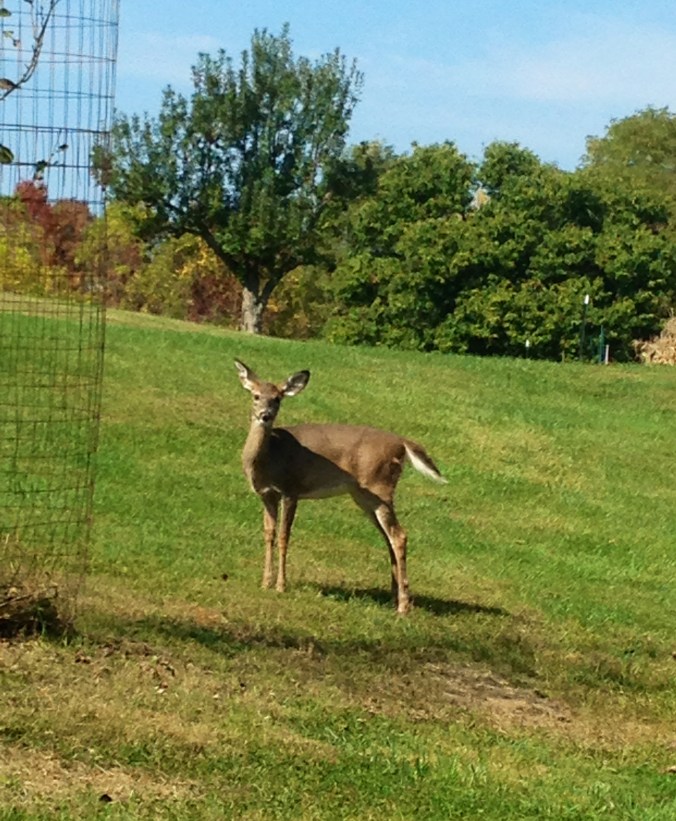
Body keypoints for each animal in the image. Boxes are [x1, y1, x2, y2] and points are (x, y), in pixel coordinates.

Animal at [234, 359, 447, 614]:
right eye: (256, 396)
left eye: (277, 398)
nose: (265, 415)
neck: (269, 458)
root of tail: (402, 444)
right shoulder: (267, 495)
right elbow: (269, 534)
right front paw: (265, 582)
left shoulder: (291, 489)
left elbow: (285, 536)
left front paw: (280, 586)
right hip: (364, 495)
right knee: (389, 536)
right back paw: (395, 597)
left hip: (381, 486)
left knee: (399, 535)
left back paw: (403, 606)